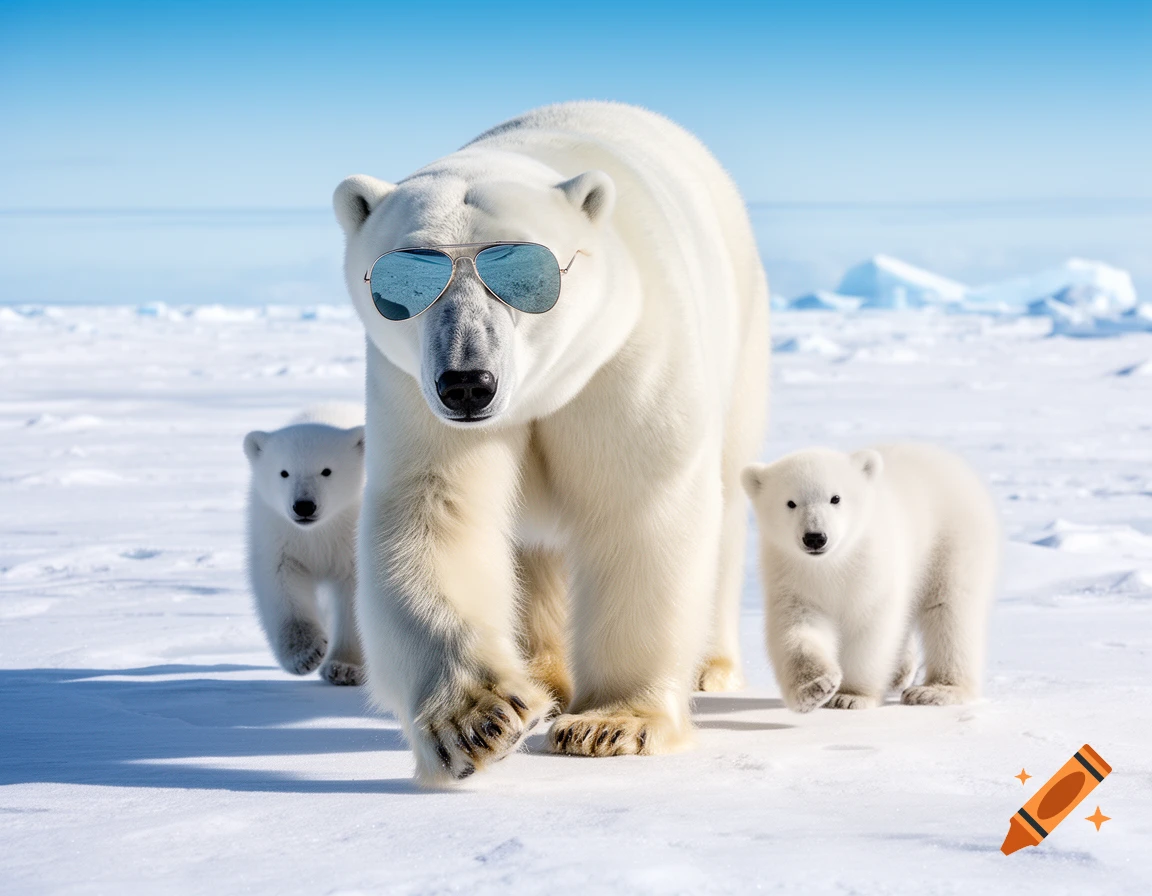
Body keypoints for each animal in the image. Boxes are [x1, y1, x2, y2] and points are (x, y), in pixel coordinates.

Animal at [243, 403, 367, 686]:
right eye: (284, 472)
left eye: (327, 470)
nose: (304, 506)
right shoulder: (280, 532)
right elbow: (282, 582)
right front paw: (306, 655)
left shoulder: (351, 537)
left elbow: (355, 595)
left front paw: (344, 668)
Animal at [332, 101, 770, 783]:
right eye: (404, 280)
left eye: (522, 272)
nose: (467, 382)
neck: (538, 390)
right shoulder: (409, 390)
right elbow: (435, 512)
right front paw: (478, 722)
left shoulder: (625, 359)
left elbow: (639, 509)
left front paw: (612, 724)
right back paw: (541, 680)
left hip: (741, 349)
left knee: (723, 507)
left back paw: (710, 666)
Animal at [741, 444, 999, 712]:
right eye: (790, 503)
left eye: (835, 498)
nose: (814, 537)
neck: (832, 562)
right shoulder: (792, 575)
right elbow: (797, 627)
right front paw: (815, 688)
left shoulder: (870, 569)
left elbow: (869, 628)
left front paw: (849, 696)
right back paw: (900, 673)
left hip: (953, 540)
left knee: (950, 610)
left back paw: (935, 690)